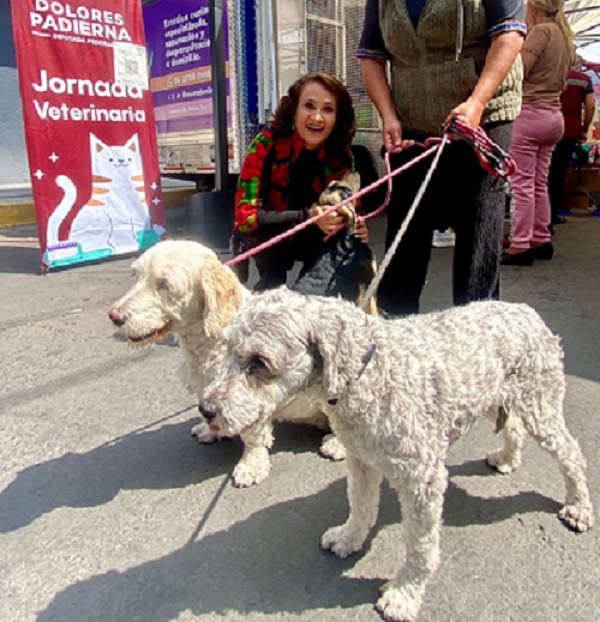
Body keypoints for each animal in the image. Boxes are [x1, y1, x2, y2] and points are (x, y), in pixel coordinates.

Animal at [106, 241, 342, 490]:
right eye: (137, 276)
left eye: (165, 284)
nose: (114, 316)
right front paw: (209, 430)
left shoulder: (251, 396)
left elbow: (254, 436)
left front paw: (251, 465)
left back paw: (337, 443)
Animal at [199, 290, 592, 622]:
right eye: (226, 348)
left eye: (260, 362)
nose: (206, 410)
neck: (370, 374)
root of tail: (526, 310)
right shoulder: (361, 459)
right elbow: (360, 505)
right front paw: (349, 539)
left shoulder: (423, 481)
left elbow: (420, 547)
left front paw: (404, 594)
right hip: (504, 398)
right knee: (515, 428)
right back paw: (508, 457)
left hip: (540, 405)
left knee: (572, 454)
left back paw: (578, 507)